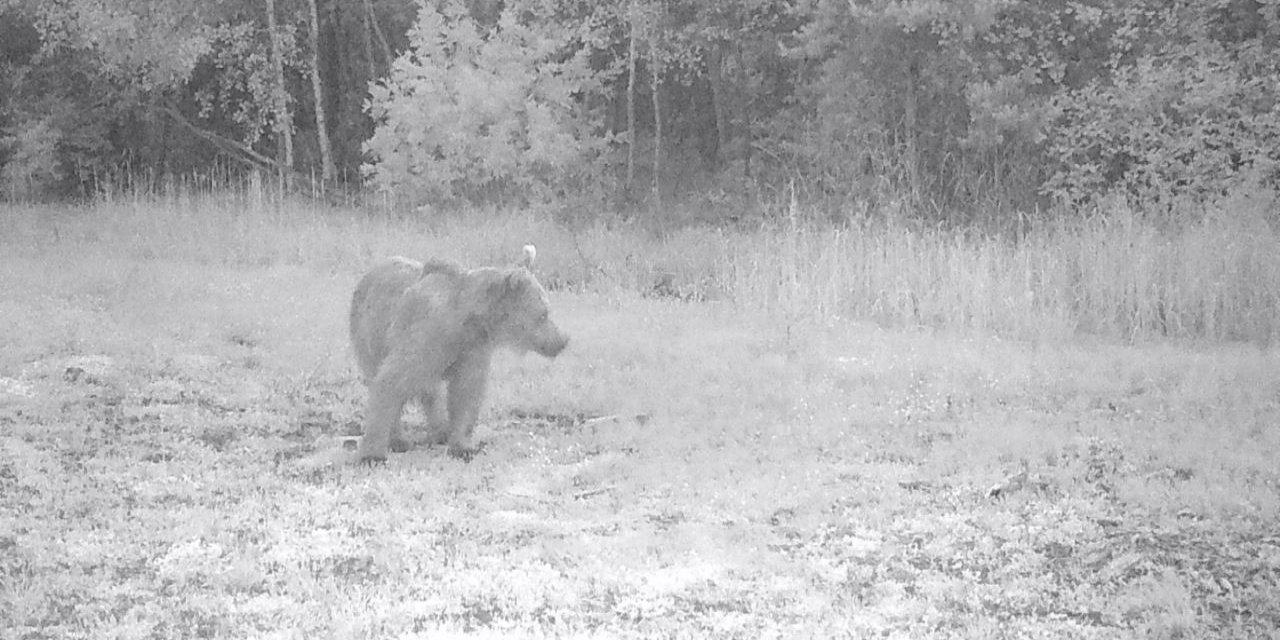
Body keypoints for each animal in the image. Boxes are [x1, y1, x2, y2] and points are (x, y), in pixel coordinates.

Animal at [350, 247, 570, 463]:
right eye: (544, 313)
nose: (562, 340)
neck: (469, 322)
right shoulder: (426, 336)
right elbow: (391, 380)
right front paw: (372, 454)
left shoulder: (472, 349)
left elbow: (466, 393)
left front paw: (463, 447)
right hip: (369, 337)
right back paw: (399, 440)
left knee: (431, 391)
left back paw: (440, 431)